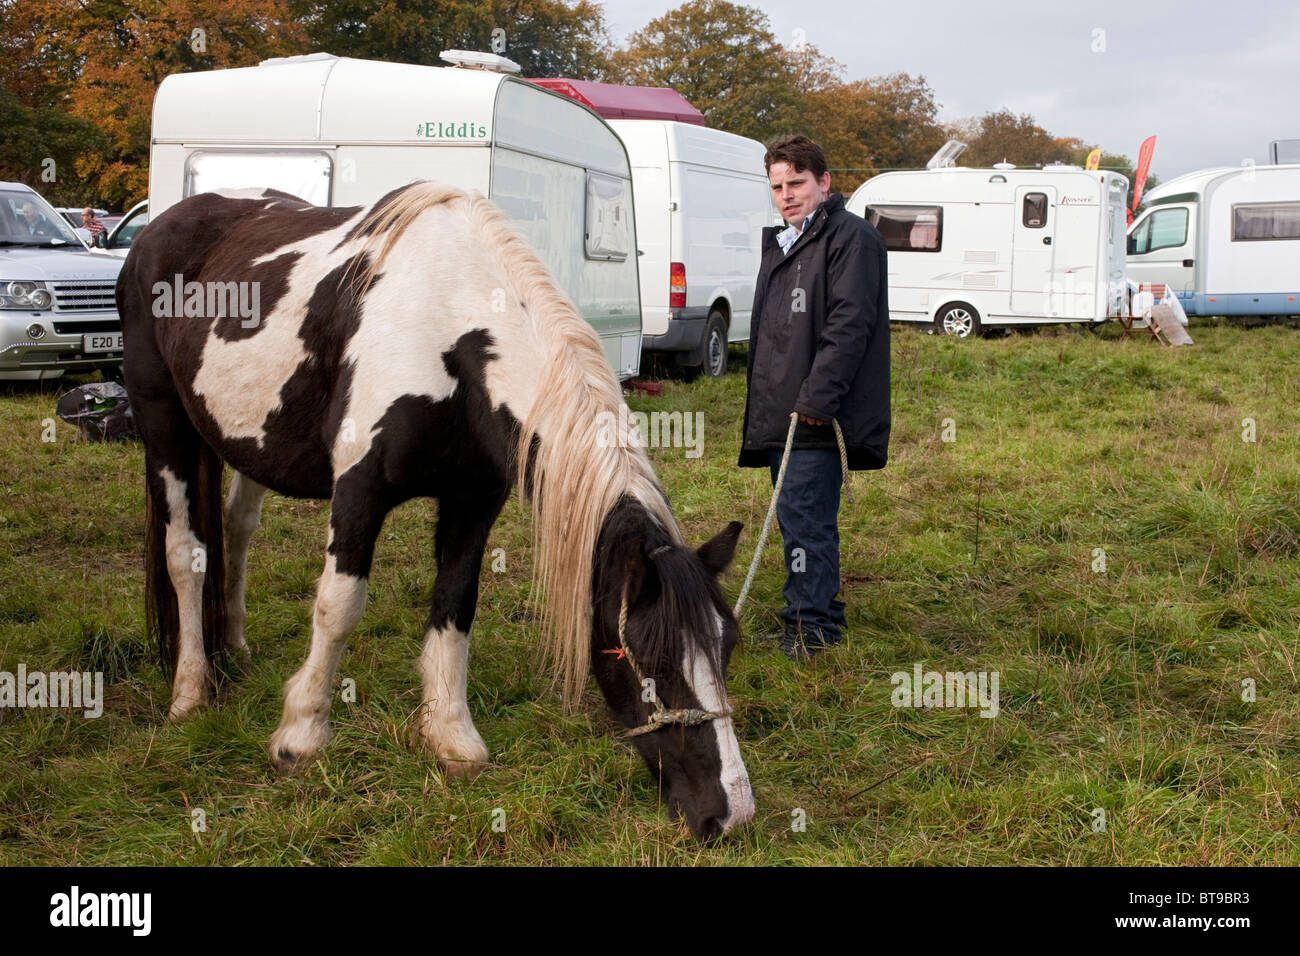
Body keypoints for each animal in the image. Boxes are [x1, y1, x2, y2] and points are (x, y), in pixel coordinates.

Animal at [116, 179, 759, 837]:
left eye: (728, 647)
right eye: (655, 661)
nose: (732, 812)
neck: (448, 332)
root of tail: (156, 230)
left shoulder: (473, 501)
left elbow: (455, 605)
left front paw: (451, 736)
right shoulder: (359, 492)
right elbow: (338, 607)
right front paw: (301, 735)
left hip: (244, 440)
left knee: (238, 529)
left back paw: (237, 648)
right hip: (164, 423)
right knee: (185, 554)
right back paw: (191, 691)